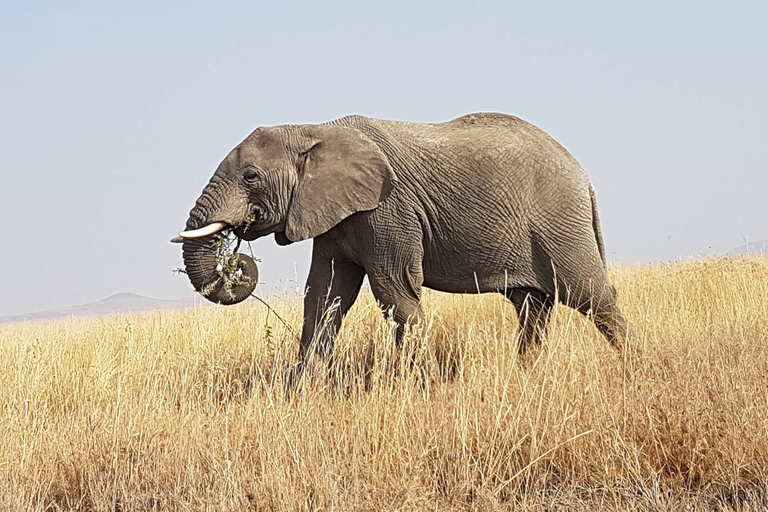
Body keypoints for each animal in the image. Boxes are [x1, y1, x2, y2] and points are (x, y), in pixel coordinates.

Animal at [176, 113, 632, 360]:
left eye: (251, 176)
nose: (235, 258)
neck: (313, 129)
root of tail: (583, 175)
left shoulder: (387, 210)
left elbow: (394, 290)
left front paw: (420, 384)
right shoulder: (333, 214)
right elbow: (324, 295)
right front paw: (301, 392)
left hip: (559, 219)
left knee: (591, 296)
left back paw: (632, 369)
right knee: (532, 307)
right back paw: (525, 377)